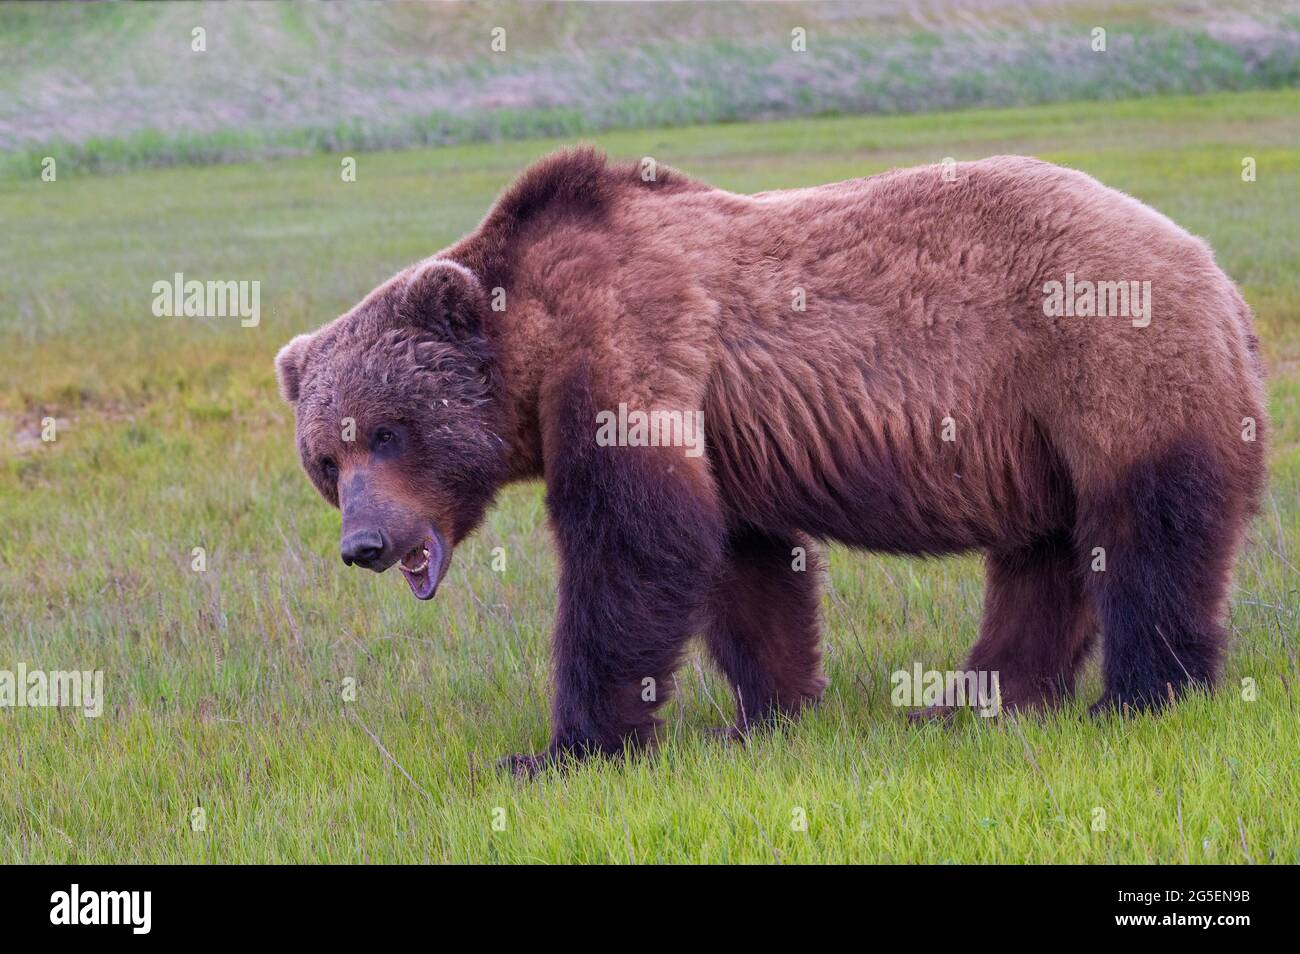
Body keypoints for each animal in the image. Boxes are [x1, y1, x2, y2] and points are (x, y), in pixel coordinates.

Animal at [276, 147, 1268, 779]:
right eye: (326, 457)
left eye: (390, 431)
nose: (364, 543)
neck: (534, 341)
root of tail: (1216, 271)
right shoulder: (721, 434)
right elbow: (742, 567)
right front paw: (768, 712)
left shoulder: (632, 349)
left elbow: (636, 549)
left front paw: (561, 749)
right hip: (1033, 434)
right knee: (1044, 556)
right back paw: (975, 697)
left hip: (1106, 361)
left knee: (1144, 533)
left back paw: (1137, 696)